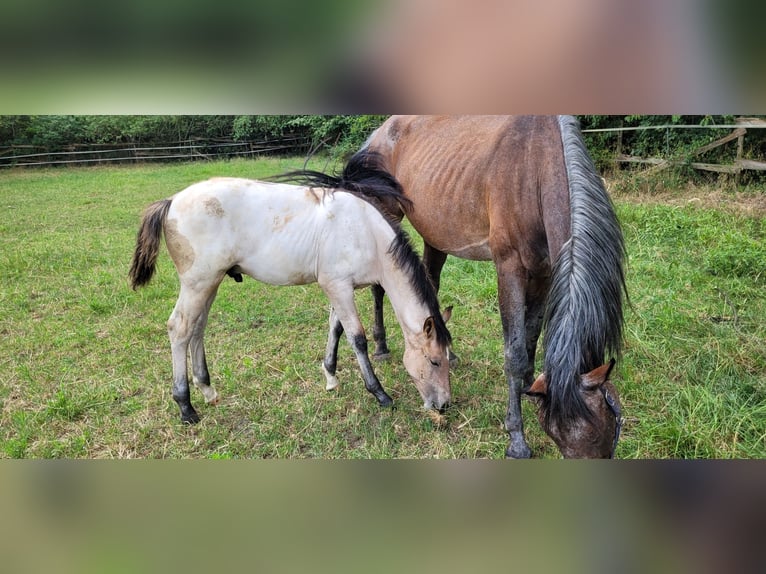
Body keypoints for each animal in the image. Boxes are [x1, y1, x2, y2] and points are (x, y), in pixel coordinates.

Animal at [129, 150, 452, 425]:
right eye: (435, 361)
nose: (444, 405)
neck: (365, 231)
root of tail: (171, 201)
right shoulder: (338, 286)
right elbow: (356, 337)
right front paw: (379, 393)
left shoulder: (338, 288)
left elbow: (335, 328)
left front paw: (330, 376)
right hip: (198, 284)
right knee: (180, 328)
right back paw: (186, 407)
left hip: (210, 283)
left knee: (197, 328)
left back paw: (207, 391)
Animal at [362, 115, 627, 458]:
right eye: (566, 437)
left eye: (607, 432)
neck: (535, 169)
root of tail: (381, 132)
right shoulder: (509, 268)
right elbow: (514, 353)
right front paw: (516, 437)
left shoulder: (544, 273)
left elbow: (530, 337)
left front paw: (529, 387)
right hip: (386, 216)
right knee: (379, 287)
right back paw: (381, 346)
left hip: (436, 238)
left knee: (431, 285)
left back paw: (448, 353)